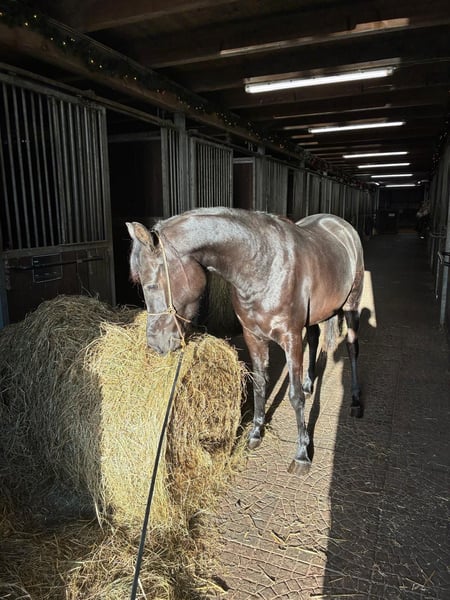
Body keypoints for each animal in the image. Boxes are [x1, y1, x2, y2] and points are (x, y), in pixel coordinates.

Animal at [126, 207, 364, 475]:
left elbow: (294, 397)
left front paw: (302, 454)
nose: (155, 344)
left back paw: (355, 400)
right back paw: (308, 382)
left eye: (151, 284)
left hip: (352, 306)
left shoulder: (291, 338)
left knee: (352, 349)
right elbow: (259, 384)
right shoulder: (253, 336)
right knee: (314, 339)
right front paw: (256, 433)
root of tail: (340, 224)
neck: (264, 266)